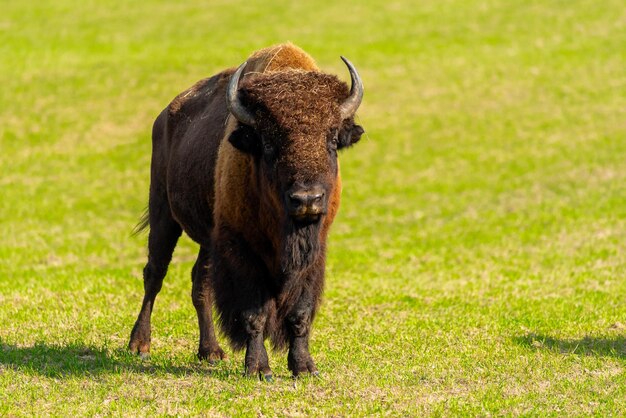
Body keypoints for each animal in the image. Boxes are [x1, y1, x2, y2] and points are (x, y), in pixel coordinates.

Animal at [129, 44, 364, 380]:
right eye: (268, 143)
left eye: (332, 140)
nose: (307, 199)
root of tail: (165, 116)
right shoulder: (241, 247)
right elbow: (255, 313)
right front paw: (258, 368)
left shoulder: (314, 251)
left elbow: (301, 312)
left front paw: (304, 367)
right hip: (163, 213)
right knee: (155, 274)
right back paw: (140, 345)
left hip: (207, 237)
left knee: (200, 283)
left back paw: (211, 352)